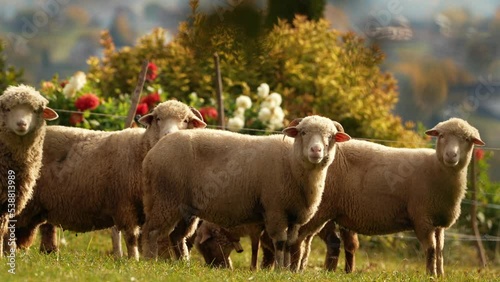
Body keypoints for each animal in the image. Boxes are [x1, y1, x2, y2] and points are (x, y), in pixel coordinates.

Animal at [12, 99, 206, 260]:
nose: (168, 135)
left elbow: (179, 241)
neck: (142, 149)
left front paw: (184, 263)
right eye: (158, 118)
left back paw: (47, 252)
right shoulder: (126, 205)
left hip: (43, 205)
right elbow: (132, 237)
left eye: (186, 120)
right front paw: (134, 261)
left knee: (43, 228)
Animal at [140, 115, 352, 268]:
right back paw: (151, 262)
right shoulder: (275, 210)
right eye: (303, 132)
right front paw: (278, 270)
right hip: (166, 197)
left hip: (184, 207)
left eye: (331, 136)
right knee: (151, 231)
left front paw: (286, 270)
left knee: (176, 236)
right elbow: (280, 242)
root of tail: (152, 153)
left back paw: (183, 263)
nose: (316, 151)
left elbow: (290, 243)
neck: (292, 163)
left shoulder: (294, 215)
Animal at [290, 118, 484, 276]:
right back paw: (294, 268)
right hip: (320, 208)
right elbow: (431, 250)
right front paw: (430, 275)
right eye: (442, 136)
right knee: (303, 236)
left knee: (312, 239)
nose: (451, 155)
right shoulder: (422, 218)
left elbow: (440, 252)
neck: (435, 168)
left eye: (467, 139)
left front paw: (440, 275)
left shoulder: (438, 222)